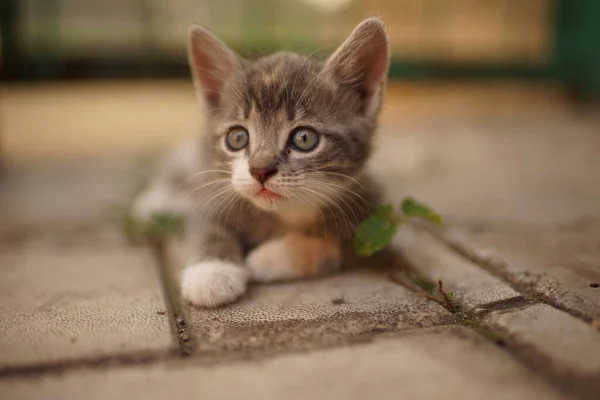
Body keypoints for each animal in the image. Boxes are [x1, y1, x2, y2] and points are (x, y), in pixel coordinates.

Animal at [132, 17, 390, 308]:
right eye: (237, 137)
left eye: (304, 138)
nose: (260, 170)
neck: (284, 216)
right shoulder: (213, 199)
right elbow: (208, 228)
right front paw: (211, 273)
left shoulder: (372, 225)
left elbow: (333, 245)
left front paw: (266, 259)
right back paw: (153, 204)